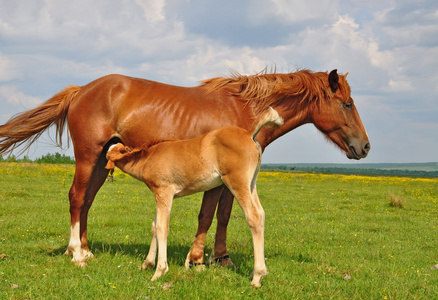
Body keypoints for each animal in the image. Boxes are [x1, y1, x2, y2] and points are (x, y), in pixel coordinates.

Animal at [106, 107, 284, 286]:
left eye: (107, 153)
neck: (148, 158)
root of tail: (248, 133)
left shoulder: (165, 192)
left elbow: (162, 227)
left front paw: (159, 271)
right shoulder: (159, 195)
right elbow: (154, 226)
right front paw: (147, 264)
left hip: (237, 182)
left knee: (253, 216)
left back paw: (257, 276)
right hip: (251, 184)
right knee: (261, 213)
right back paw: (257, 271)